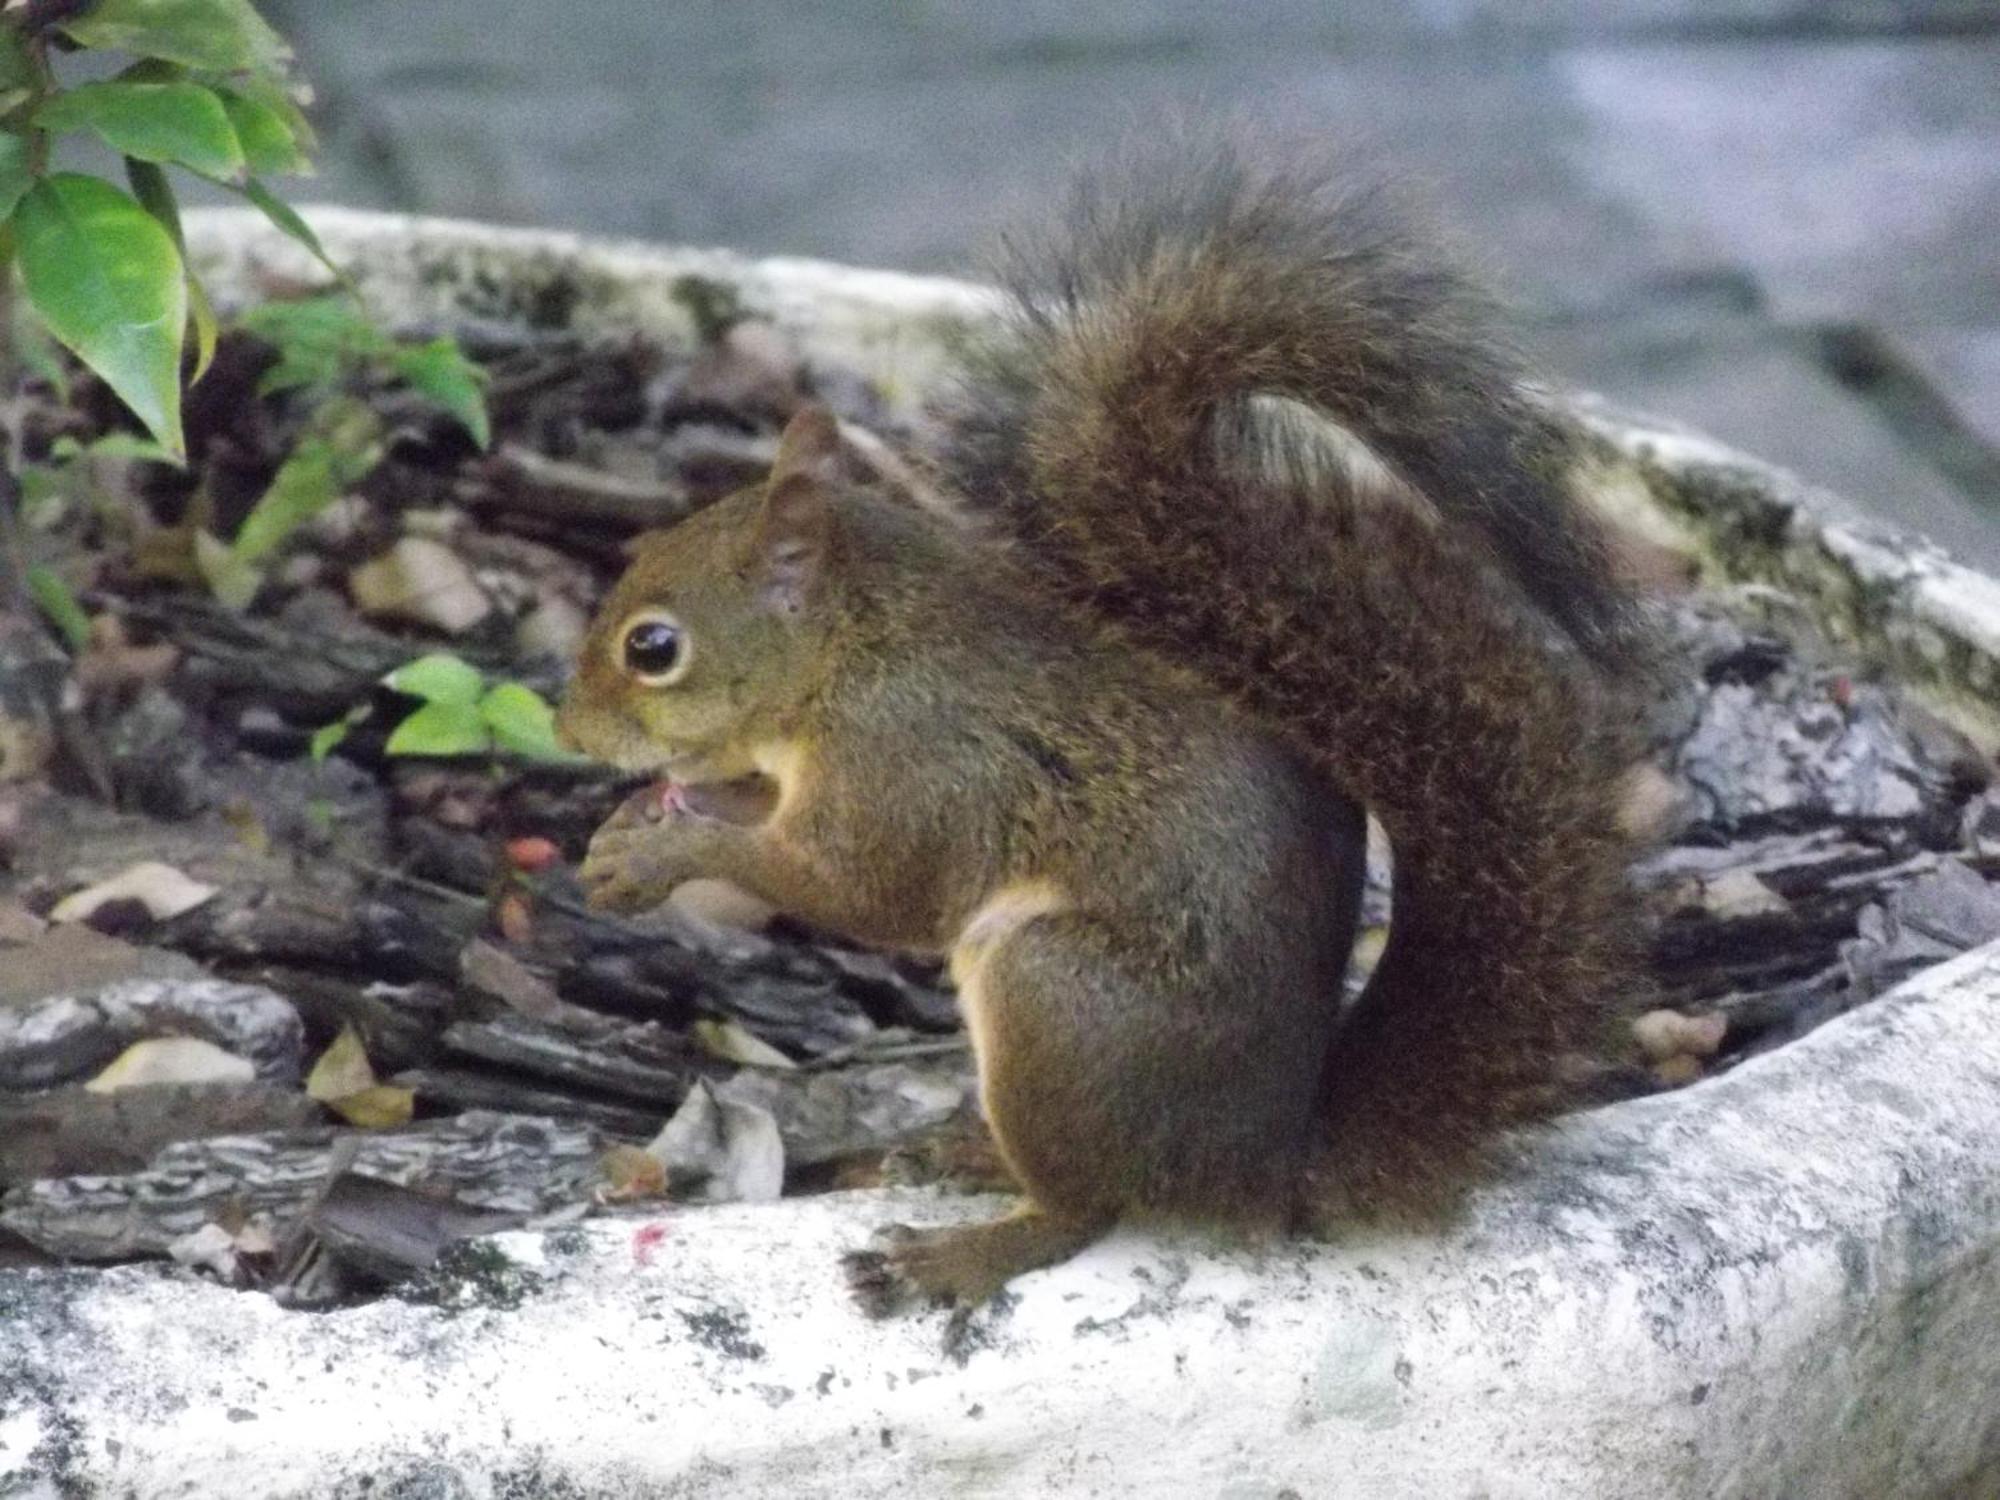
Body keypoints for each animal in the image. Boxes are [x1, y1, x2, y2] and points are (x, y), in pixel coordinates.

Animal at [556, 138, 1648, 1312]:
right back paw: (965, 1151)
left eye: (653, 647)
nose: (569, 730)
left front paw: (672, 848)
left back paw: (954, 1252)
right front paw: (641, 824)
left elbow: (862, 889)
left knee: (1082, 1207)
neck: (854, 652)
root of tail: (1260, 1168)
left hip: (1058, 1001)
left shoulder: (916, 761)